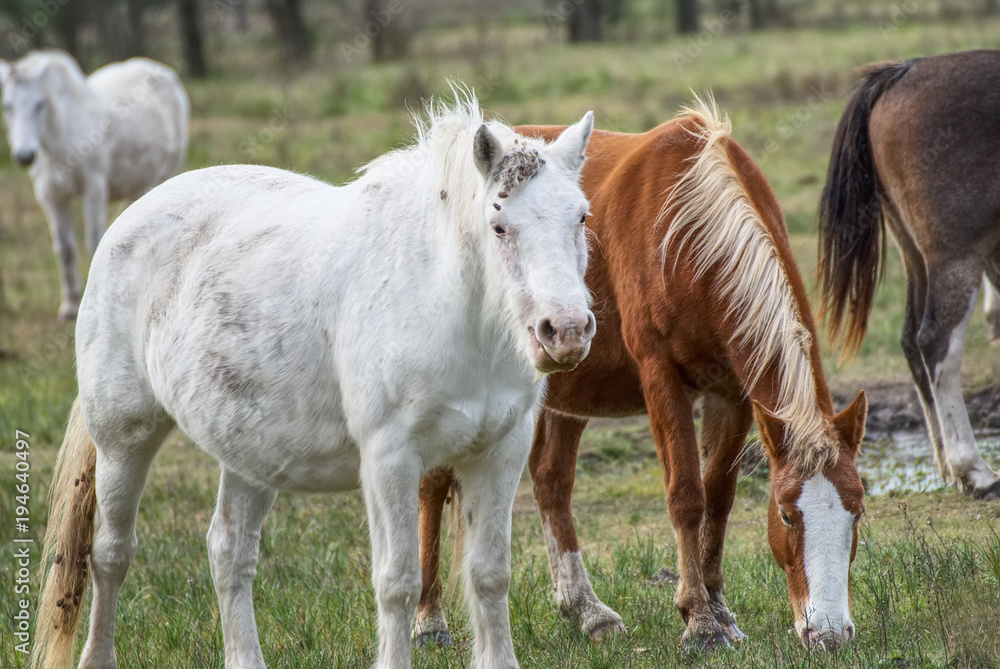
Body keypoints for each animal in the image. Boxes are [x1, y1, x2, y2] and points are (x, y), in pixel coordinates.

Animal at [0, 50, 189, 320]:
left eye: (40, 104)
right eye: (7, 107)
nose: (24, 155)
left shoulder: (94, 189)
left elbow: (92, 244)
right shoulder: (50, 196)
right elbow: (64, 249)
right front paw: (69, 306)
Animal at [35, 98, 596, 668]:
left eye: (581, 217)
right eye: (499, 226)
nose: (566, 330)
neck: (447, 302)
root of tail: (129, 220)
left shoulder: (500, 451)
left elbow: (489, 576)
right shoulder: (392, 459)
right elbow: (399, 583)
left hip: (250, 453)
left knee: (228, 552)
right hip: (123, 438)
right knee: (110, 554)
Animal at [414, 102, 868, 648]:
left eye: (858, 511)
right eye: (786, 514)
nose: (831, 633)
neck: (689, 230)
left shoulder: (733, 392)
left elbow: (718, 497)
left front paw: (720, 610)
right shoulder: (660, 376)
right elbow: (686, 495)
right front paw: (699, 621)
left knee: (550, 480)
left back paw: (587, 610)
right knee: (432, 486)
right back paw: (429, 620)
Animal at [820, 49, 1000, 498]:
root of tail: (903, 72)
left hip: (915, 253)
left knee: (910, 342)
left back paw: (947, 465)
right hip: (955, 256)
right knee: (935, 343)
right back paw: (974, 470)